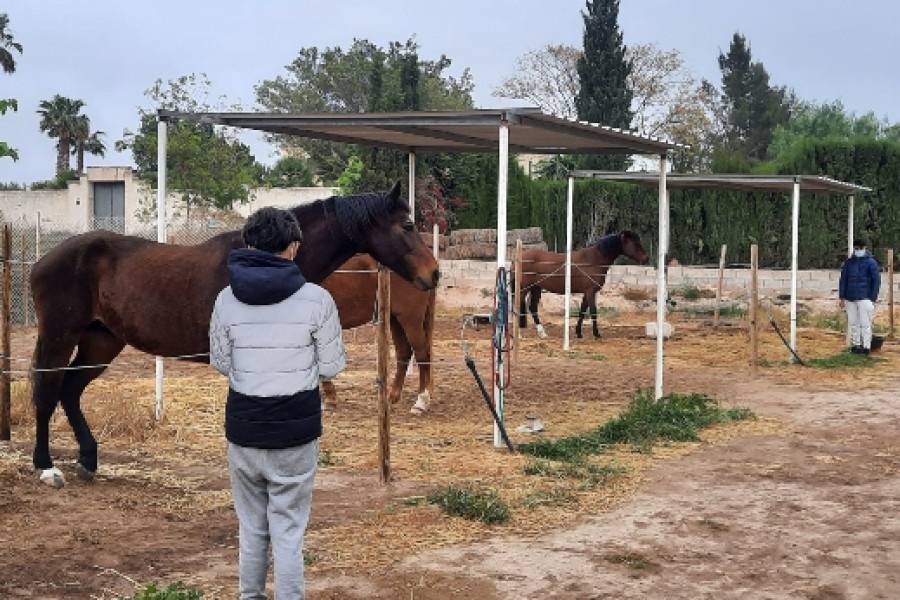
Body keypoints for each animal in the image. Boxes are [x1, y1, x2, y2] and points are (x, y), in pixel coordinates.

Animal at [320, 253, 436, 412]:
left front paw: (330, 399)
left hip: (410, 320)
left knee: (422, 355)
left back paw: (421, 402)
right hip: (395, 320)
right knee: (404, 353)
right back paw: (393, 396)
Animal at [516, 232, 652, 340]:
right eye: (635, 243)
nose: (646, 258)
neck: (593, 260)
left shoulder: (587, 292)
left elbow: (582, 311)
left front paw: (579, 333)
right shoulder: (591, 291)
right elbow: (593, 312)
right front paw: (597, 334)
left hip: (536, 288)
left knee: (533, 308)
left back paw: (542, 334)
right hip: (524, 289)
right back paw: (519, 334)